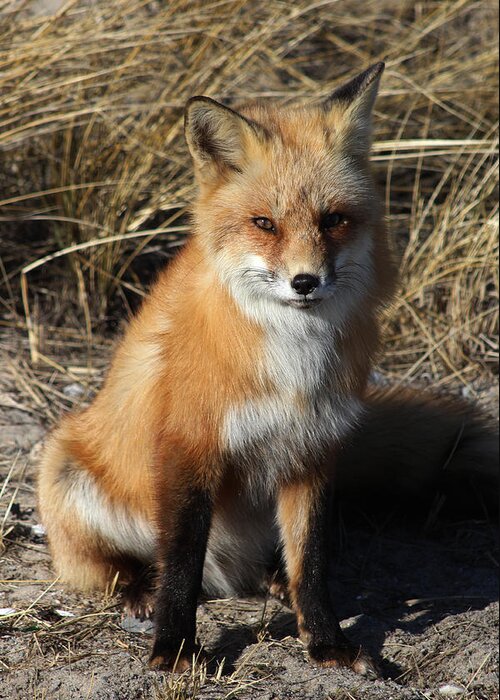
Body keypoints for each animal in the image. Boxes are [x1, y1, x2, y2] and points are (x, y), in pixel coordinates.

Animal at [37, 65, 498, 680]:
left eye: (334, 220)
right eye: (264, 224)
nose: (305, 282)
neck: (293, 362)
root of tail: (228, 575)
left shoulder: (315, 449)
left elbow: (312, 562)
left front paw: (326, 643)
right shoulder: (190, 446)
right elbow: (180, 563)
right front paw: (175, 649)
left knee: (271, 566)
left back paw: (273, 584)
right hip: (66, 469)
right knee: (118, 569)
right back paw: (138, 590)